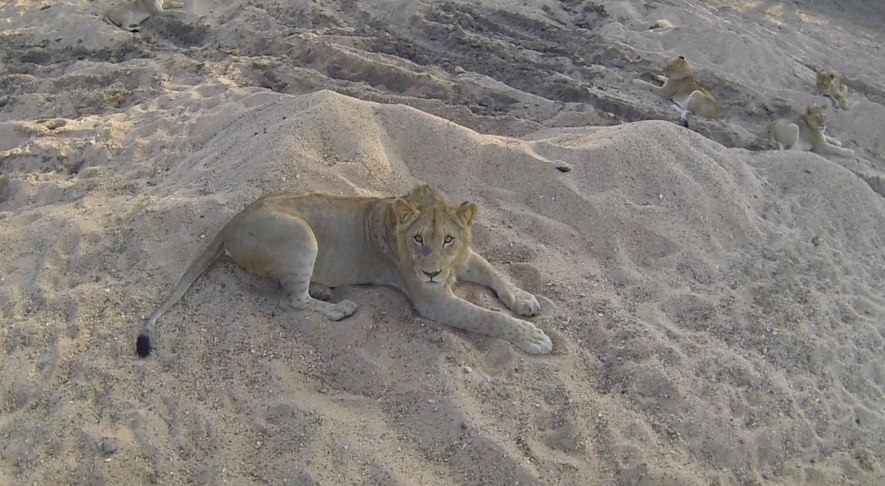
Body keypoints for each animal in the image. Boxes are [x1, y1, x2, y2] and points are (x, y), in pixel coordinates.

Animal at [136, 185, 552, 356]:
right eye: (419, 239)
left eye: (448, 239)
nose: (432, 272)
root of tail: (233, 220)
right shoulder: (432, 300)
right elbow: (486, 317)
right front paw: (533, 337)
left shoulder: (463, 257)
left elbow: (495, 273)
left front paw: (525, 299)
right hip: (300, 235)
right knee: (292, 301)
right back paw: (340, 307)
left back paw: (325, 290)